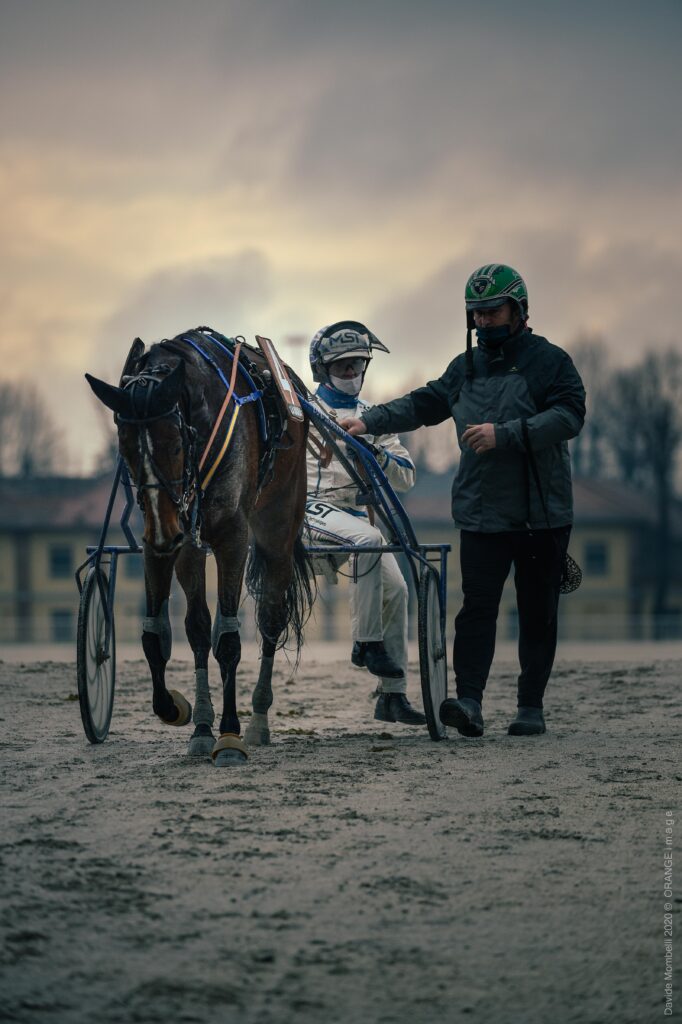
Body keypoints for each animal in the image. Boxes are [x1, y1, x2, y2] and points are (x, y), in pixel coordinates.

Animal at [82, 327, 313, 770]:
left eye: (174, 445)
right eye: (126, 448)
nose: (165, 531)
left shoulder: (232, 536)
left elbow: (229, 639)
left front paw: (230, 735)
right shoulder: (168, 541)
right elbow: (163, 635)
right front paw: (185, 714)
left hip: (278, 523)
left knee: (271, 618)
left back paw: (258, 720)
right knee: (201, 627)